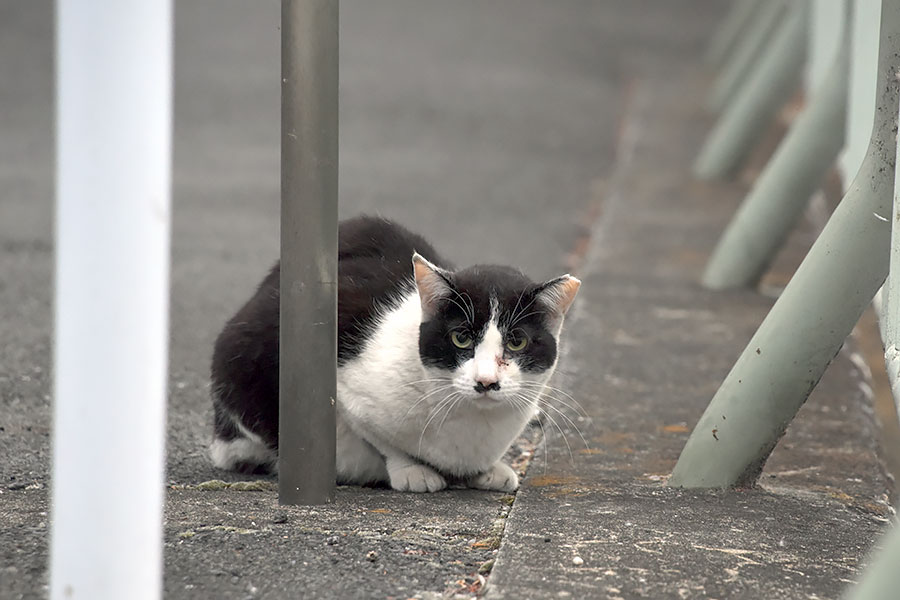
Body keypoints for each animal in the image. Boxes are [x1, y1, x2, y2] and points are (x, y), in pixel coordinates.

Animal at [208, 216, 580, 492]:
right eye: (460, 338)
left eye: (517, 342)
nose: (486, 381)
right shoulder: (347, 393)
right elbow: (381, 441)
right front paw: (411, 470)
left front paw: (488, 470)